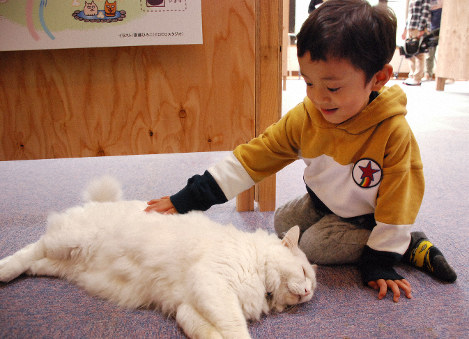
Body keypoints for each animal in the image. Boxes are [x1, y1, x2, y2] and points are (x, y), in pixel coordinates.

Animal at [0, 178, 316, 339]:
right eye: (304, 272)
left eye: (312, 289)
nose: (308, 291)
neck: (257, 265)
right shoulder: (213, 284)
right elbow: (234, 328)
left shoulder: (187, 306)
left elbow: (207, 331)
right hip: (68, 241)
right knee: (31, 247)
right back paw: (3, 269)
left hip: (61, 262)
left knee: (33, 262)